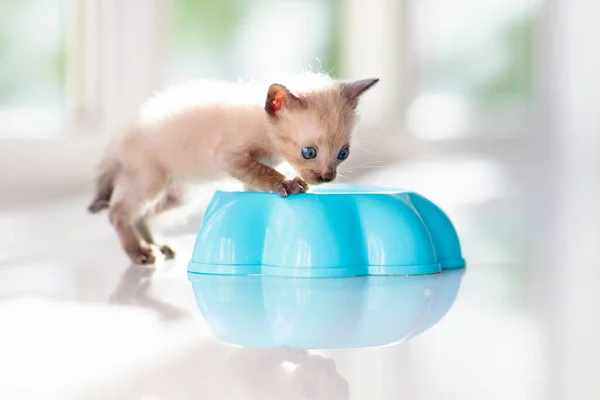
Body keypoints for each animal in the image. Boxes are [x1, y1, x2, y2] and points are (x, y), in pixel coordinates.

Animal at [88, 72, 380, 266]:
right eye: (309, 152)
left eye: (343, 154)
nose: (327, 177)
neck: (269, 143)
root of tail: (122, 138)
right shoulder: (229, 157)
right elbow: (265, 173)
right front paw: (288, 183)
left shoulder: (246, 173)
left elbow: (257, 180)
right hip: (152, 182)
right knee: (118, 212)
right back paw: (138, 252)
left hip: (178, 196)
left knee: (141, 215)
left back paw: (156, 245)